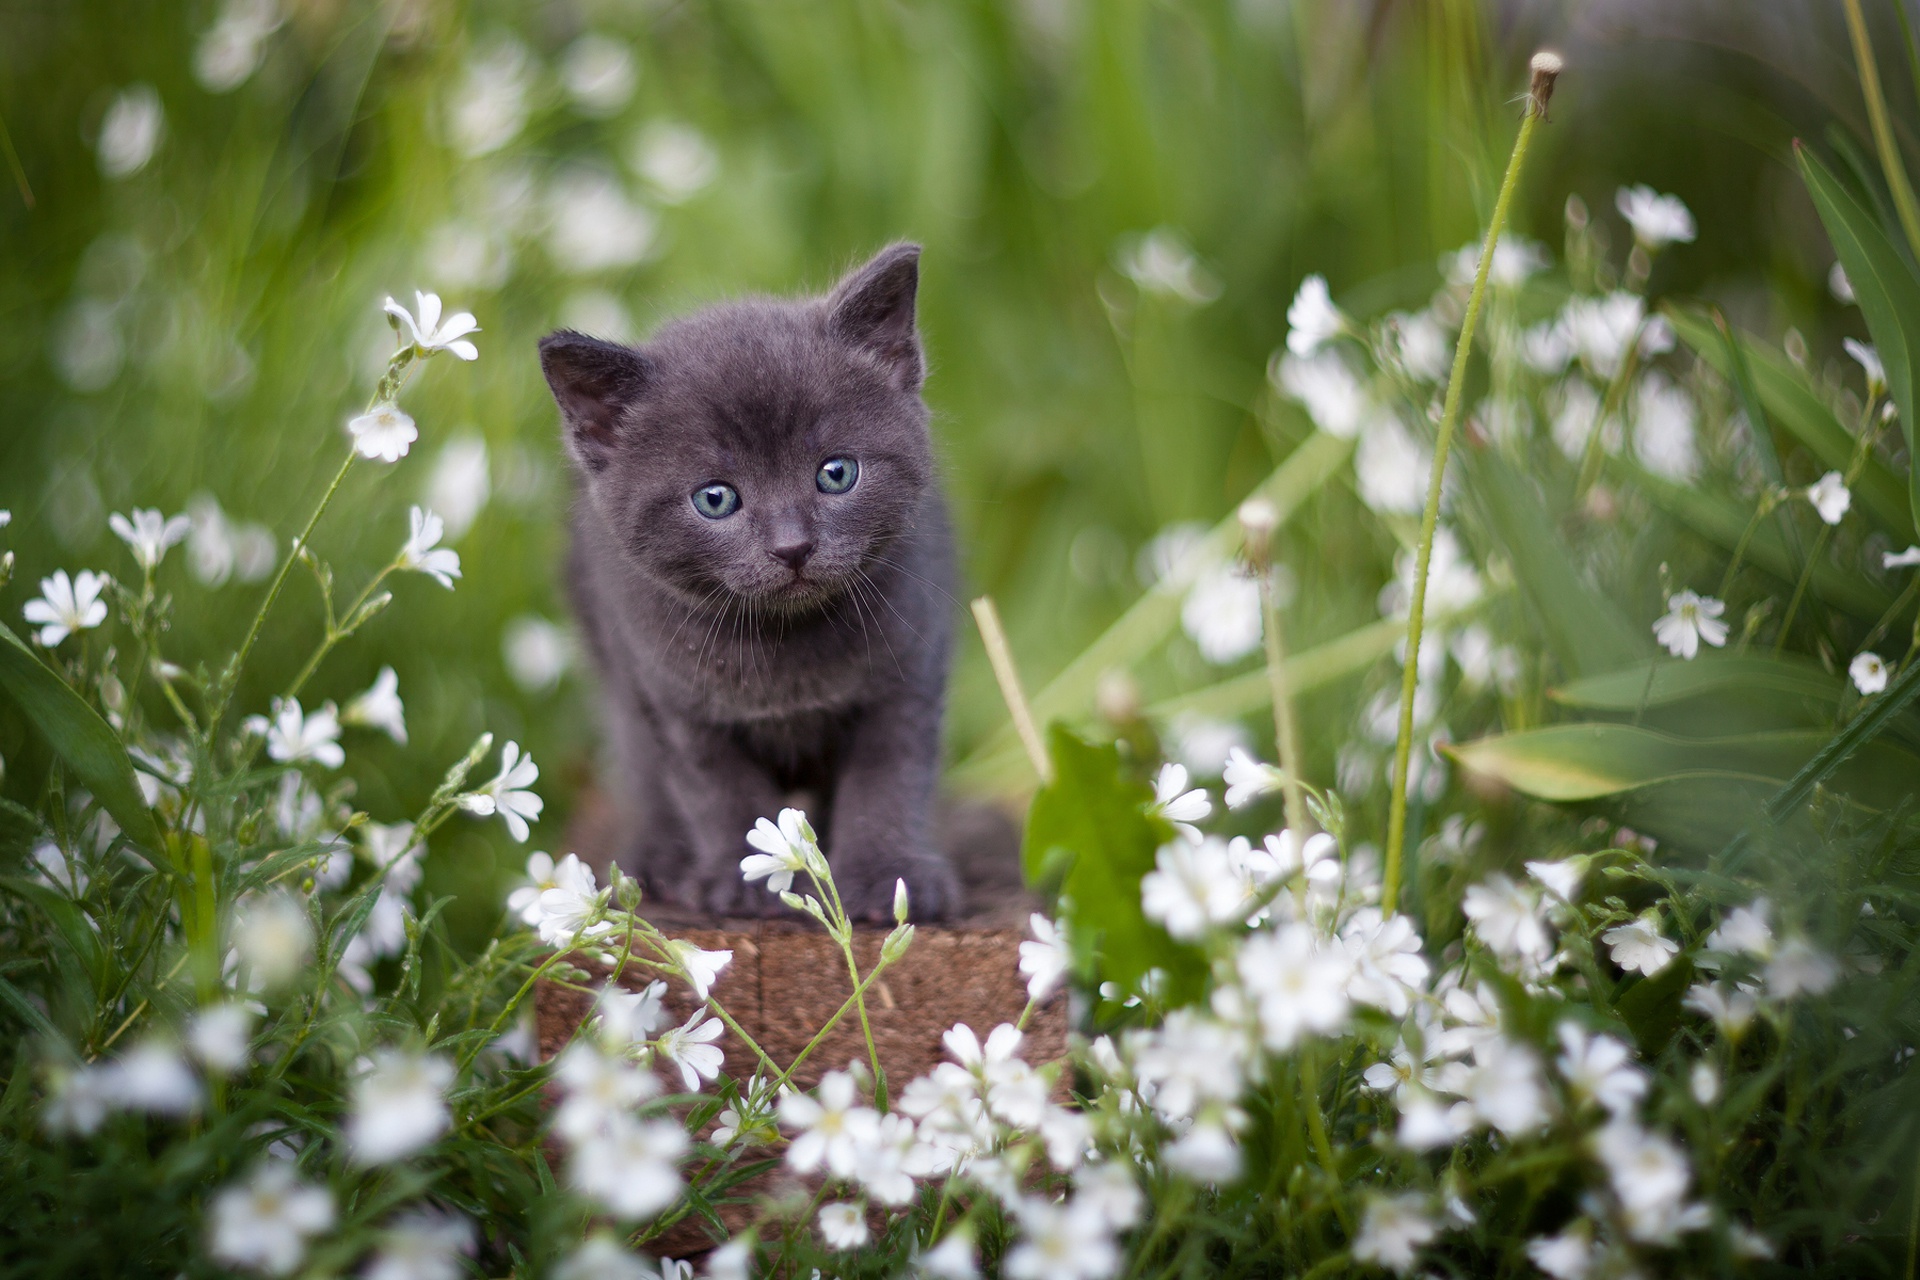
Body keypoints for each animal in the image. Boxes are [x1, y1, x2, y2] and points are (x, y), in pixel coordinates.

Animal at [541, 242, 960, 921]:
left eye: (837, 473)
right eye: (716, 499)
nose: (792, 546)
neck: (784, 646)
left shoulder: (908, 677)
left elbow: (889, 779)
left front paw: (890, 876)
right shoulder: (676, 703)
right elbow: (717, 789)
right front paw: (743, 882)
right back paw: (659, 859)